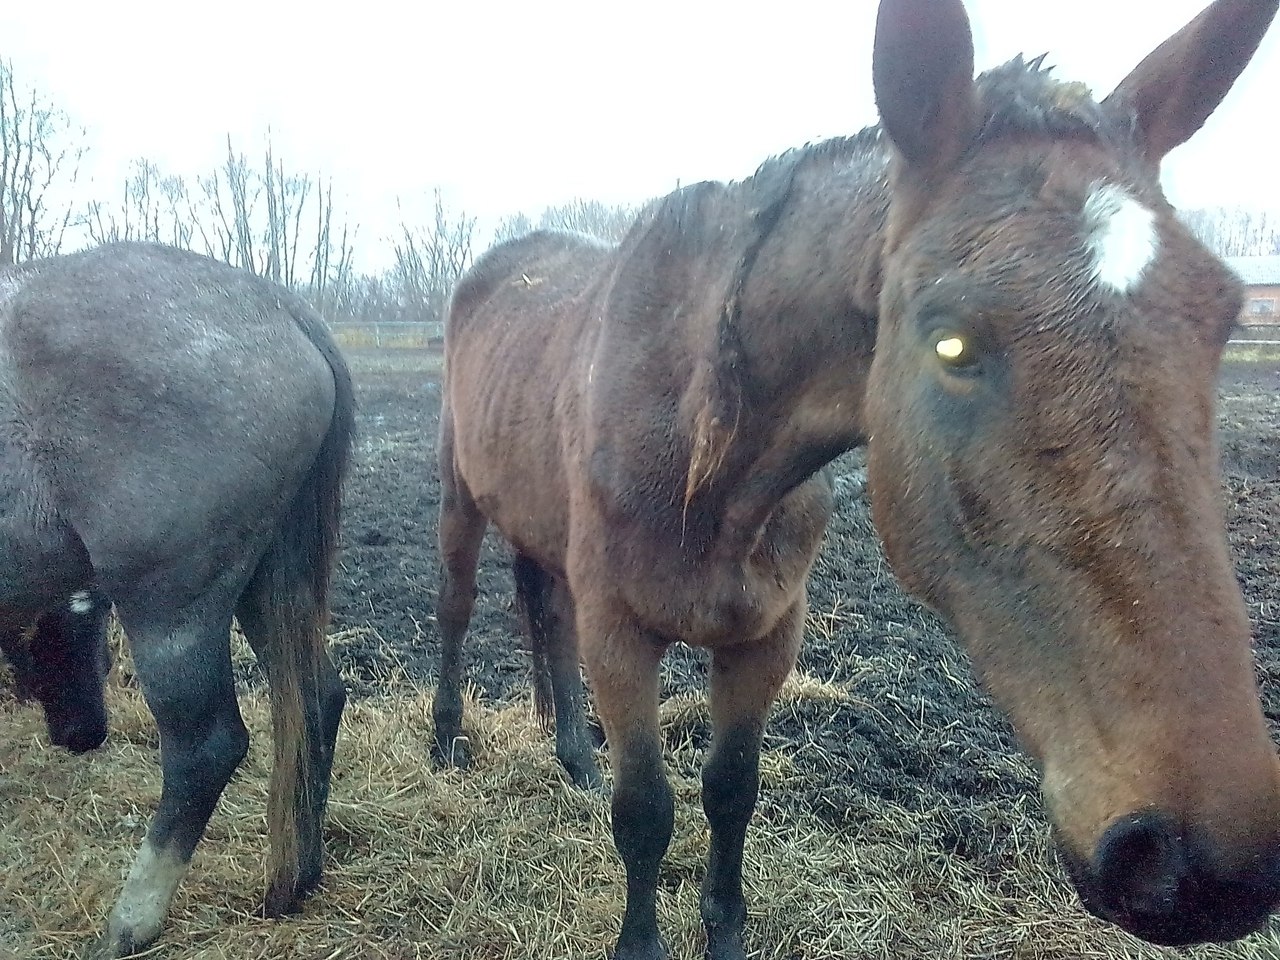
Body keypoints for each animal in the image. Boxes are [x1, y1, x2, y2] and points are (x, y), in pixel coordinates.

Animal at [0, 240, 353, 957]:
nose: (82, 736)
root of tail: (280, 307)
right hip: (264, 582)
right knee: (316, 697)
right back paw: (293, 882)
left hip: (172, 604)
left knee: (206, 748)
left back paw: (131, 921)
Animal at [432, 1, 1280, 957]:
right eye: (951, 340)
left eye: (1224, 316)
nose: (1197, 863)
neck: (698, 455)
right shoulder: (622, 633)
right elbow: (645, 811)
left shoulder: (766, 634)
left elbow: (731, 790)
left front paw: (725, 929)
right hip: (458, 496)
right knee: (459, 605)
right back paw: (447, 740)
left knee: (545, 612)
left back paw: (570, 749)